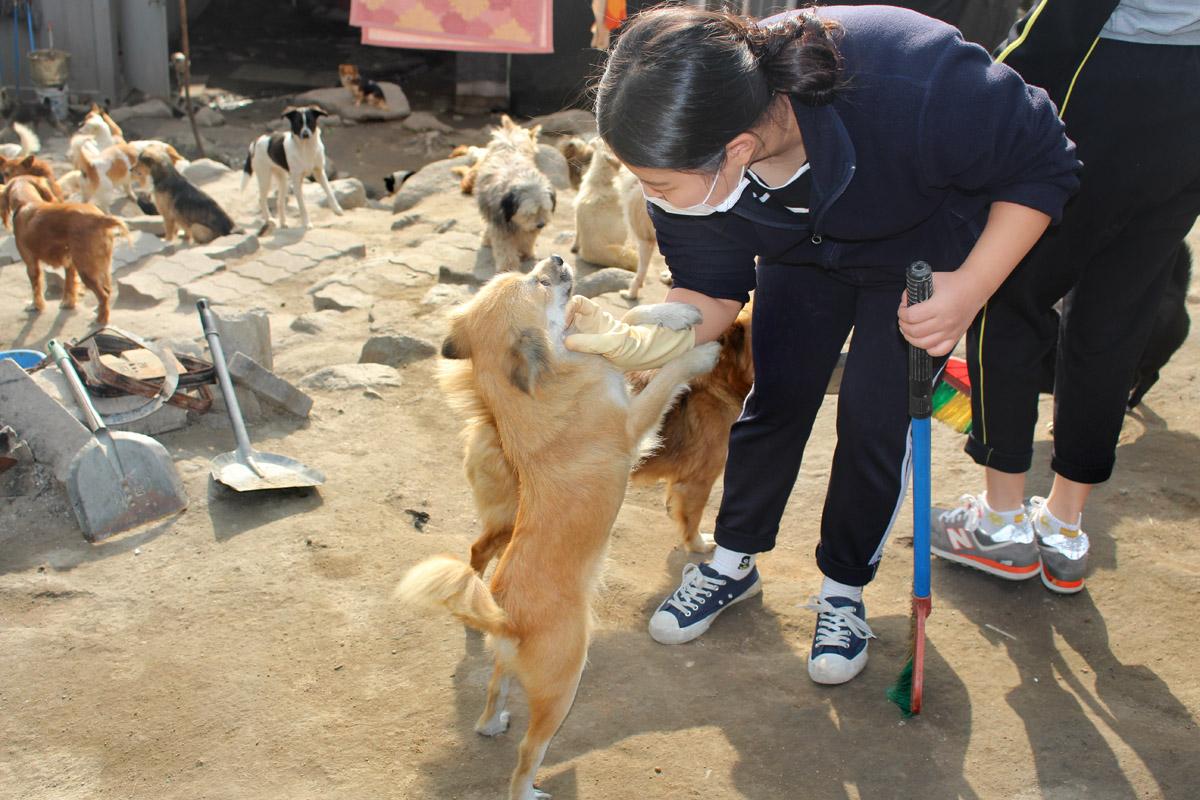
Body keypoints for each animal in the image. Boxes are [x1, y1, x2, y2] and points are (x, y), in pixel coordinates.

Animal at [0, 175, 132, 326]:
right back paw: (99, 311)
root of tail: (100, 219)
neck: (27, 201)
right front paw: (68, 303)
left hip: (86, 268)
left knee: (103, 295)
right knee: (107, 290)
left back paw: (100, 319)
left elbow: (36, 285)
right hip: (101, 264)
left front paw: (35, 305)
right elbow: (69, 283)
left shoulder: (30, 260)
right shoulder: (70, 262)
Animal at [393, 257, 715, 800]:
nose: (558, 259)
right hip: (563, 687)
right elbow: (668, 372)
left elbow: (633, 320)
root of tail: (506, 621)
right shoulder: (634, 420)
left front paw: (674, 313)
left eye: (530, 271)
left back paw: (492, 723)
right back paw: (528, 789)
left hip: (508, 670)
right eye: (539, 283)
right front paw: (702, 351)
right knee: (527, 755)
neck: (550, 382)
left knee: (492, 692)